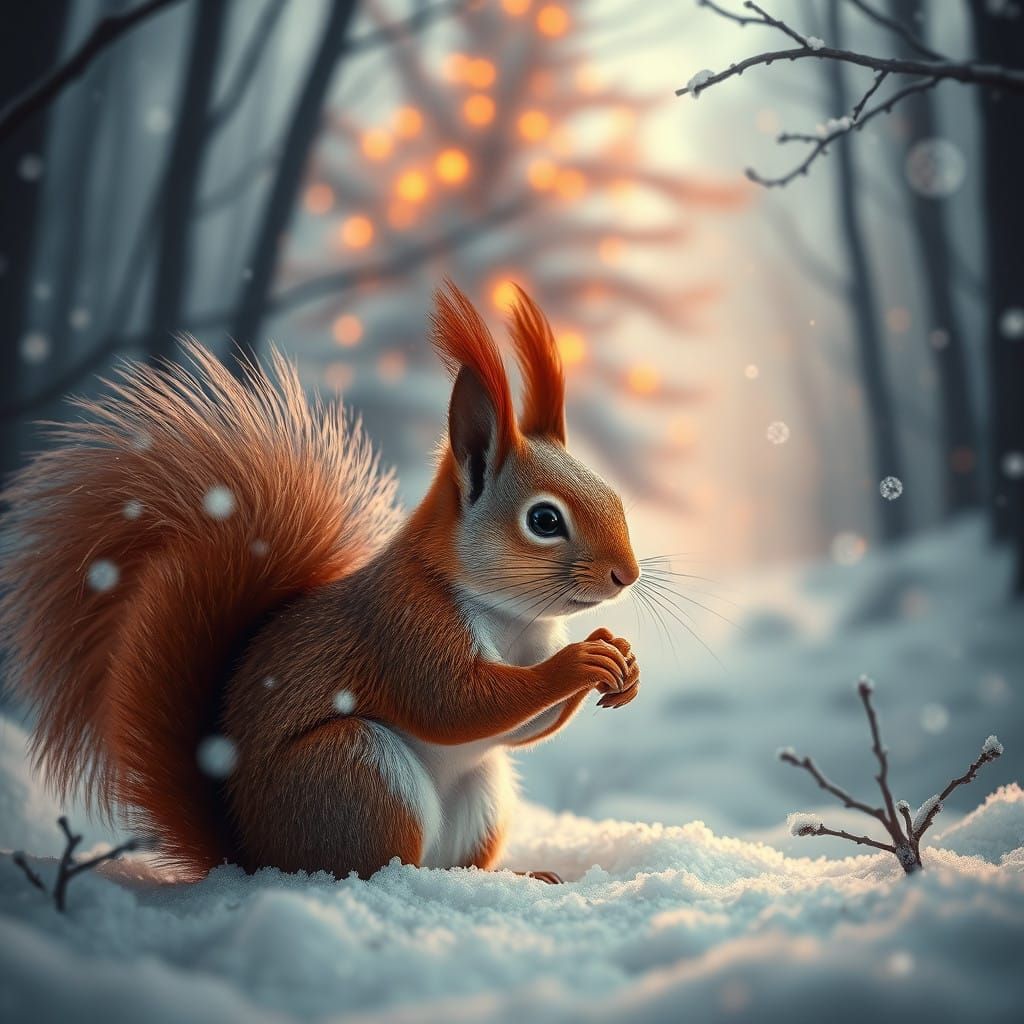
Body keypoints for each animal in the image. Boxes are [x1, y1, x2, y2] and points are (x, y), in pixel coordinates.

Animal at [0, 281, 640, 882]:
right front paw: (580, 662)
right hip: (354, 771)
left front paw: (620, 658)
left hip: (480, 795)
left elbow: (525, 726)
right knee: (373, 864)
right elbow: (455, 702)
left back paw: (509, 875)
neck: (509, 616)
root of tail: (254, 857)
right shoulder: (406, 623)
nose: (627, 575)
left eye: (615, 496)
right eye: (544, 520)